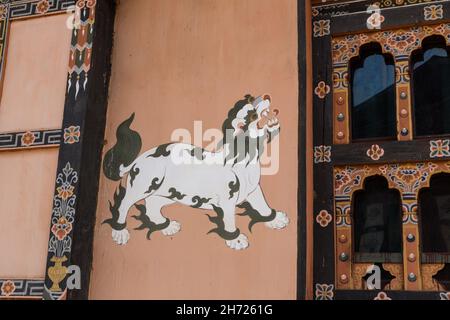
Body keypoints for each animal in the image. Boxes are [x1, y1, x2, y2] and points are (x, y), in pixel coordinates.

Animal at [102, 94, 288, 251]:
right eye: (252, 115)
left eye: (251, 97)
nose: (266, 95)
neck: (245, 158)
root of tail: (138, 159)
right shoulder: (226, 201)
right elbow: (229, 220)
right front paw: (235, 239)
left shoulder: (253, 190)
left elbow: (262, 205)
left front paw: (275, 219)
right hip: (143, 186)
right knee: (124, 204)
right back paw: (120, 232)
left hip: (168, 193)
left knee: (152, 206)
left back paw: (167, 226)